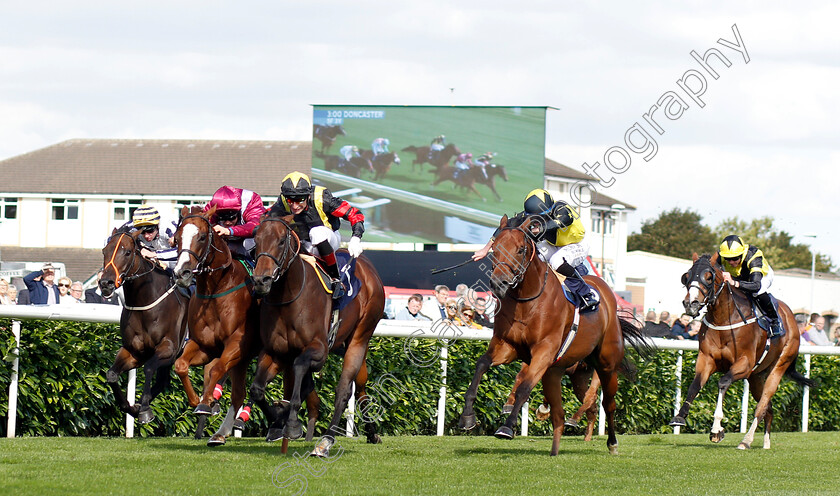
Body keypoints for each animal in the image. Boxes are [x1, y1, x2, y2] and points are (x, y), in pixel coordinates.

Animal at [99, 227, 189, 424]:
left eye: (127, 252)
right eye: (104, 251)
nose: (105, 283)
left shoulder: (168, 348)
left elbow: (148, 368)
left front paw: (145, 409)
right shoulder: (135, 351)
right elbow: (111, 375)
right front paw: (132, 407)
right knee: (163, 381)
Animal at [171, 205, 260, 446]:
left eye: (202, 237)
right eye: (177, 238)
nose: (181, 273)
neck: (216, 290)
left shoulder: (237, 344)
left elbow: (217, 368)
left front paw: (207, 401)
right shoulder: (204, 345)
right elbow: (180, 365)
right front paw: (198, 401)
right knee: (239, 393)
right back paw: (221, 433)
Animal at [251, 210, 386, 458]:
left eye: (281, 241)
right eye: (256, 241)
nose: (260, 281)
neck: (290, 296)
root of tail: (366, 266)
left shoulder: (318, 350)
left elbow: (300, 367)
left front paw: (292, 423)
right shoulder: (274, 351)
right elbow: (257, 389)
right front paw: (278, 420)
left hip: (361, 336)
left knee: (344, 390)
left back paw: (325, 442)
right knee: (360, 383)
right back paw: (371, 432)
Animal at [460, 215, 648, 456]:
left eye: (521, 249)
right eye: (495, 248)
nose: (498, 283)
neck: (527, 301)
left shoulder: (544, 350)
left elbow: (524, 387)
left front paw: (507, 427)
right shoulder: (507, 346)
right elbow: (482, 365)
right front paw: (467, 417)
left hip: (606, 365)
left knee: (606, 403)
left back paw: (612, 443)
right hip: (568, 374)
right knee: (569, 410)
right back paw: (558, 443)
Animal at [668, 256, 812, 450]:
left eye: (709, 277)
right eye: (686, 276)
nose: (691, 304)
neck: (723, 319)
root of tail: (792, 318)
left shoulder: (744, 363)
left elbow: (723, 382)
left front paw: (716, 429)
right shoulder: (706, 359)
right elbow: (695, 384)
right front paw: (679, 417)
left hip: (779, 366)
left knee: (762, 405)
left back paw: (746, 440)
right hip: (756, 377)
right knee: (769, 408)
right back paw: (766, 442)